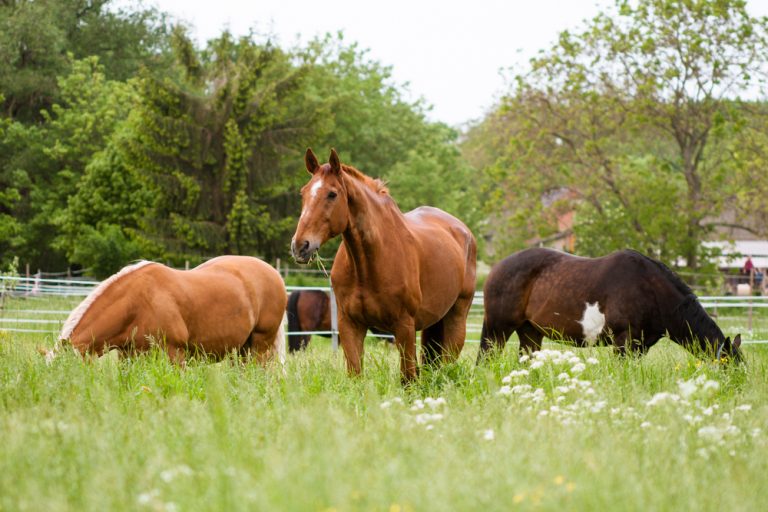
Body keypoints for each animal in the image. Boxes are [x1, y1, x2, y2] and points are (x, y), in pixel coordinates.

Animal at [48, 256, 288, 364]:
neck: (137, 303)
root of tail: (273, 273)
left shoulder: (175, 355)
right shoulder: (129, 357)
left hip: (260, 346)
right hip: (241, 350)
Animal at [292, 146, 476, 382]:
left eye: (332, 194)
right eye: (303, 193)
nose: (300, 246)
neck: (367, 266)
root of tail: (463, 231)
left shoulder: (404, 327)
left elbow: (408, 378)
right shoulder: (350, 325)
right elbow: (356, 375)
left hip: (456, 318)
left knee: (448, 361)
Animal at [476, 248, 740, 364]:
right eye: (728, 363)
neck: (651, 290)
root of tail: (496, 268)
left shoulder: (640, 346)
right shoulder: (623, 341)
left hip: (530, 332)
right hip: (498, 330)